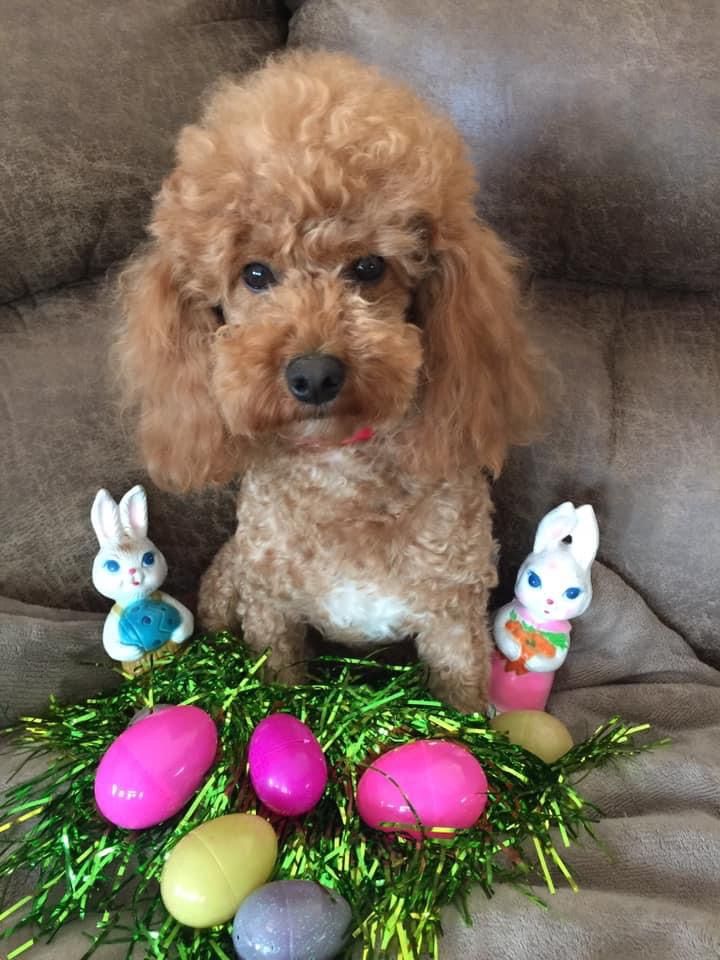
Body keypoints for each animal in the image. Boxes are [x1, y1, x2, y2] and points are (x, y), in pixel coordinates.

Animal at [117, 50, 542, 713]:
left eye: (368, 267)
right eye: (255, 274)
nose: (314, 374)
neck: (342, 474)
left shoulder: (453, 616)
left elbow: (461, 703)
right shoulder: (272, 612)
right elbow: (277, 688)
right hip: (228, 581)